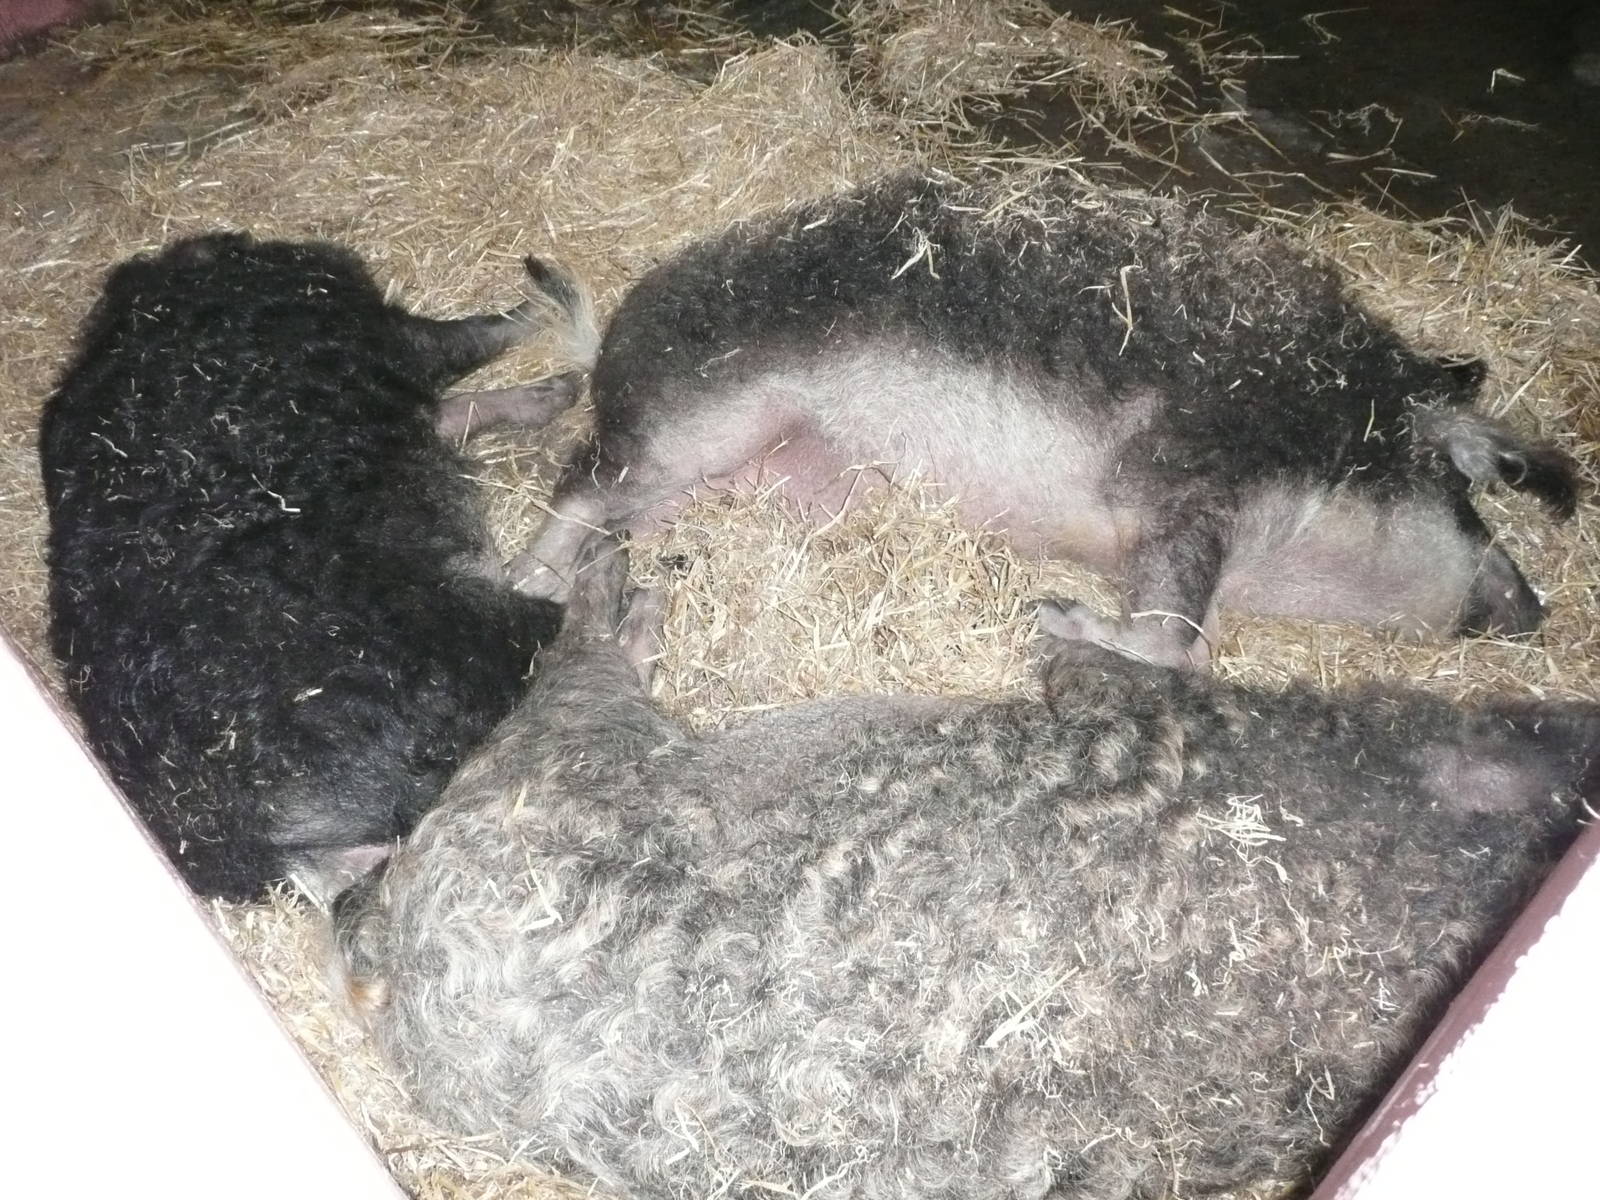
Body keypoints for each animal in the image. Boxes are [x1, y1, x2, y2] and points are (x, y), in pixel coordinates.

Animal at [335, 536, 1598, 1200]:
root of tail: (391, 967)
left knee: (576, 685)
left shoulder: (1169, 722)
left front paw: (1061, 627)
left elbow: (1097, 674)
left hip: (549, 787)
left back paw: (613, 601)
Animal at [516, 172, 1579, 667]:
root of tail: (613, 340)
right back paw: (533, 582)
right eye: (1466, 494)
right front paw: (1051, 615)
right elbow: (1174, 639)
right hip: (696, 420)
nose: (1538, 609)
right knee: (579, 487)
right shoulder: (1184, 480)